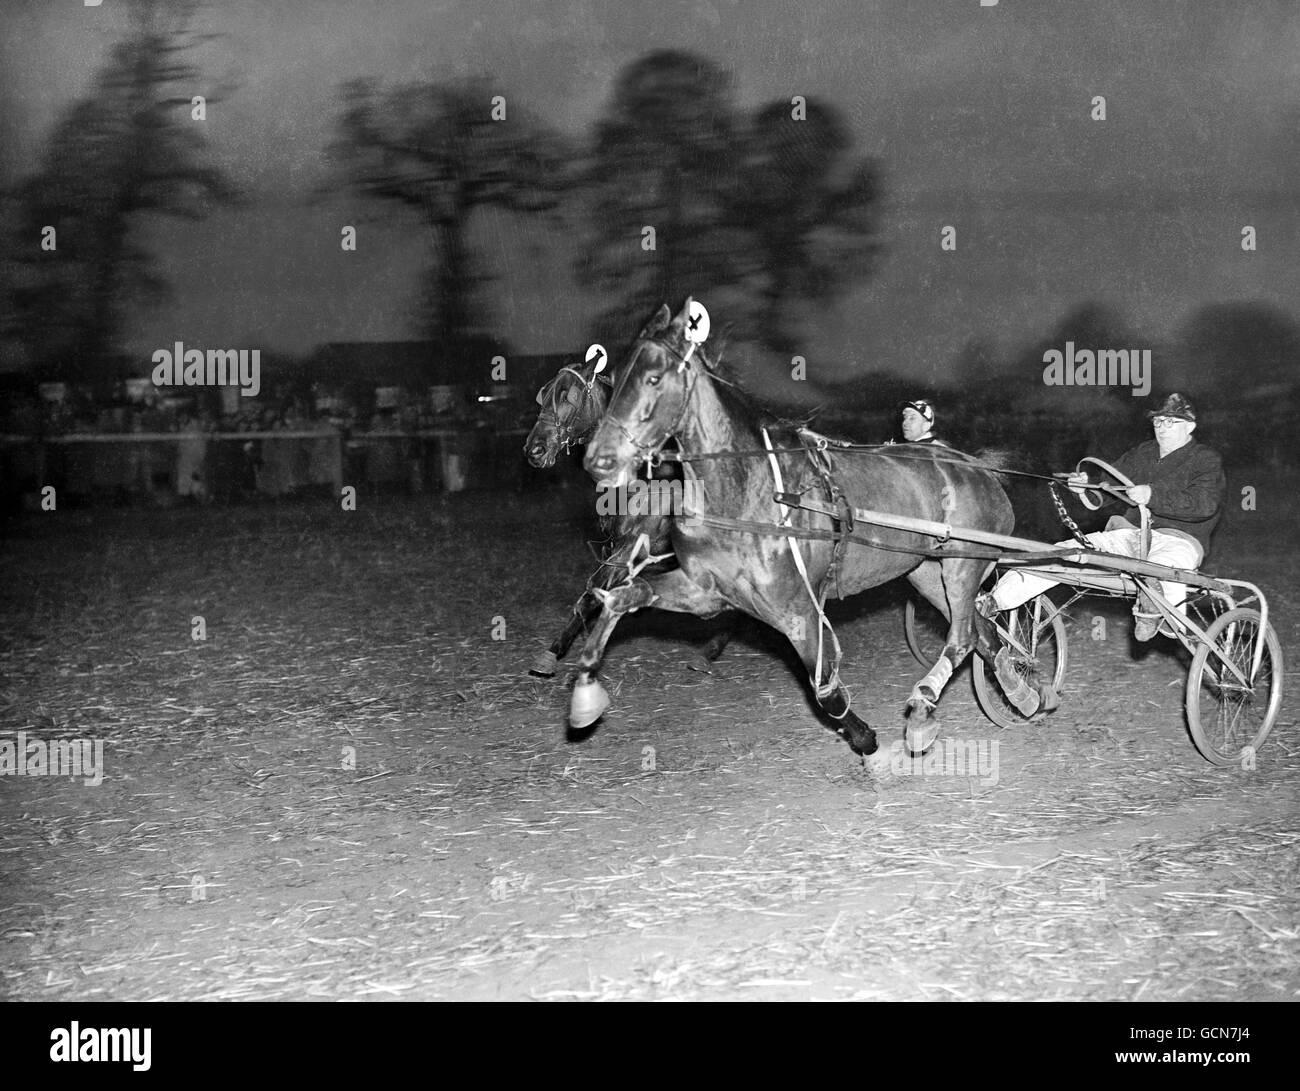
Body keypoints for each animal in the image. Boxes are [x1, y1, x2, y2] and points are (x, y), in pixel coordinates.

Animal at [522, 351, 738, 676]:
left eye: (567, 396)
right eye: (543, 395)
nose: (535, 450)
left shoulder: (629, 549)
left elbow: (592, 593)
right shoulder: (614, 547)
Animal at [579, 299, 1024, 759]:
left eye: (653, 378)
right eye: (614, 379)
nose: (598, 460)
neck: (748, 494)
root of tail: (975, 466)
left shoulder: (798, 611)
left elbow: (826, 692)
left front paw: (867, 742)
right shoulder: (705, 593)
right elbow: (625, 595)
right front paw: (586, 681)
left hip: (962, 567)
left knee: (963, 637)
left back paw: (924, 706)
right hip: (926, 574)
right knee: (983, 634)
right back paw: (1023, 694)